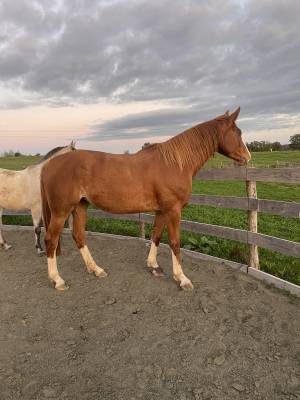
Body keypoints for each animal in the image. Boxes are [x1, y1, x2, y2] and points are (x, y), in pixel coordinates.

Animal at [41, 108, 250, 290]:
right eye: (237, 132)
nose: (247, 157)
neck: (174, 164)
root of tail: (50, 164)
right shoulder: (173, 210)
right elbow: (174, 242)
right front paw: (182, 278)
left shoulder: (162, 210)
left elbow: (156, 236)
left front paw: (153, 265)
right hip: (61, 211)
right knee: (51, 239)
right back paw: (57, 280)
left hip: (80, 207)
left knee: (78, 235)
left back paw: (96, 269)